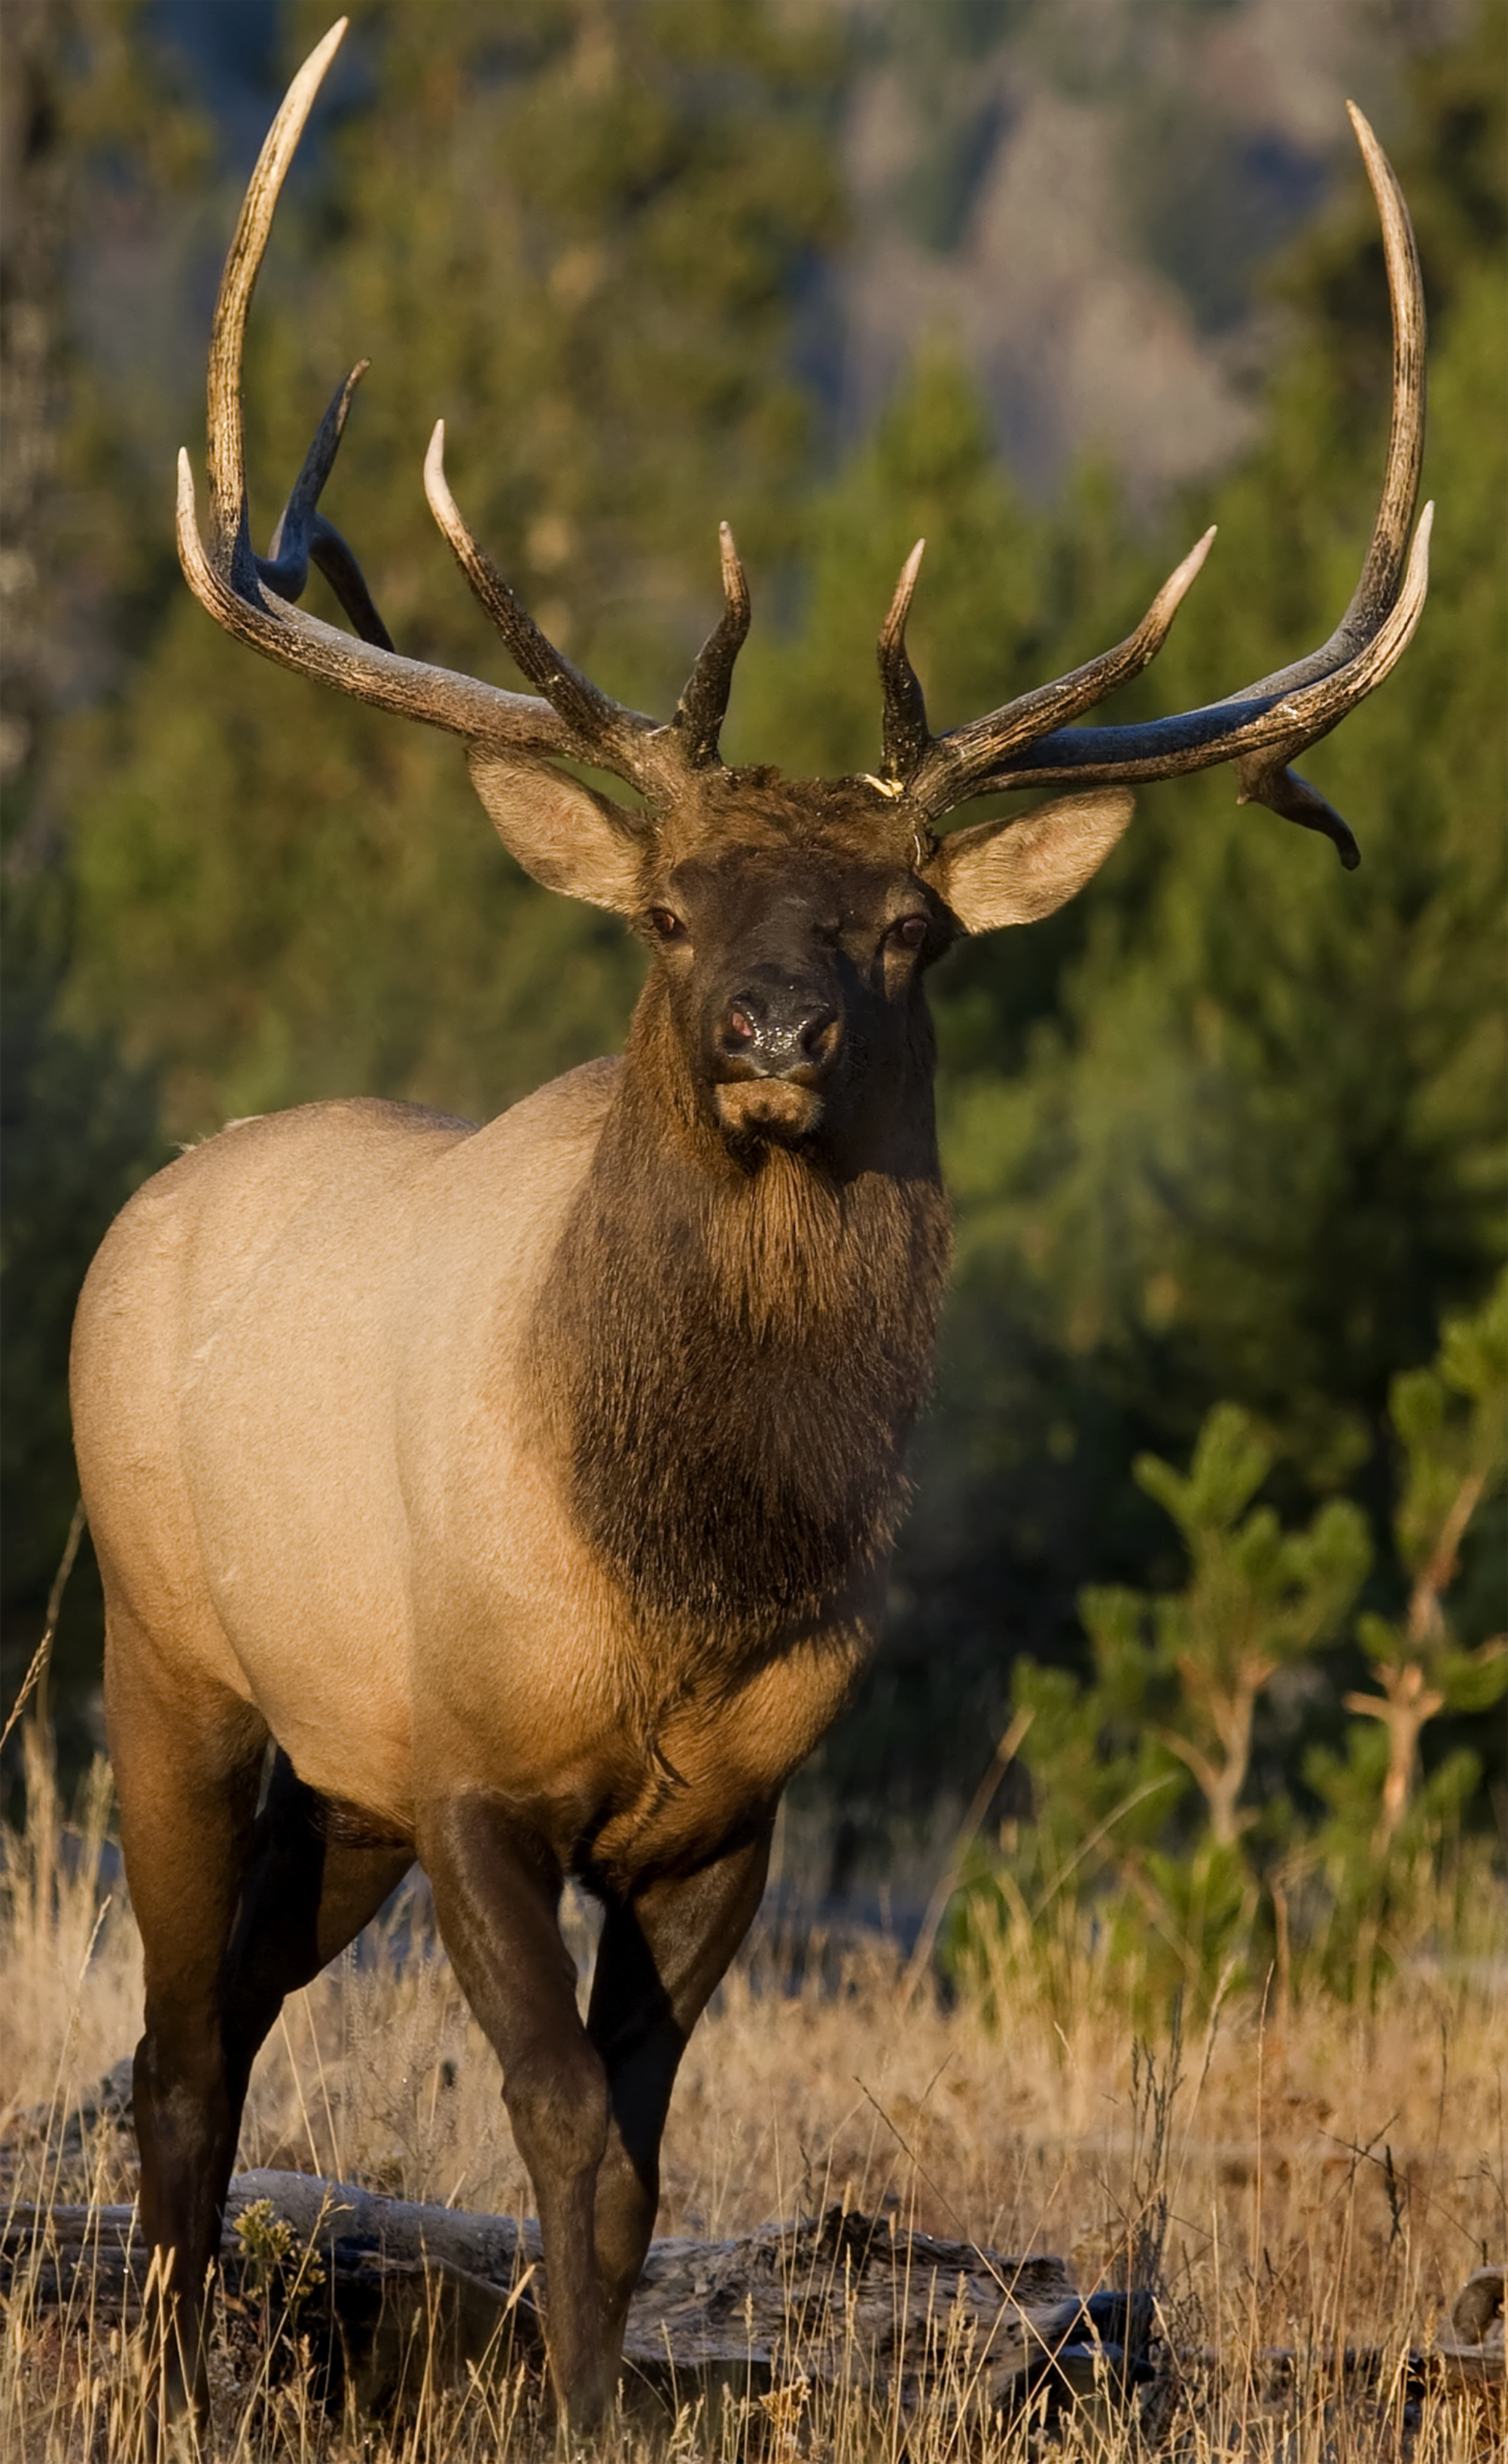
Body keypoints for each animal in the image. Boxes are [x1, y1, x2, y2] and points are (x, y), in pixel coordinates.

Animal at [71, 19, 1429, 2434]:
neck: (683, 1564)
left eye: (907, 925)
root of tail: (157, 1196)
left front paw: (597, 2401)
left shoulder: (726, 1816)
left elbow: (630, 2166)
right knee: (171, 2040)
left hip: (333, 1770)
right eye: (672, 906)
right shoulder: (474, 1765)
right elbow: (553, 2130)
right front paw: (571, 2405)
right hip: (175, 1655)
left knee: (221, 2015)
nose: (775, 1029)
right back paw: (166, 2382)